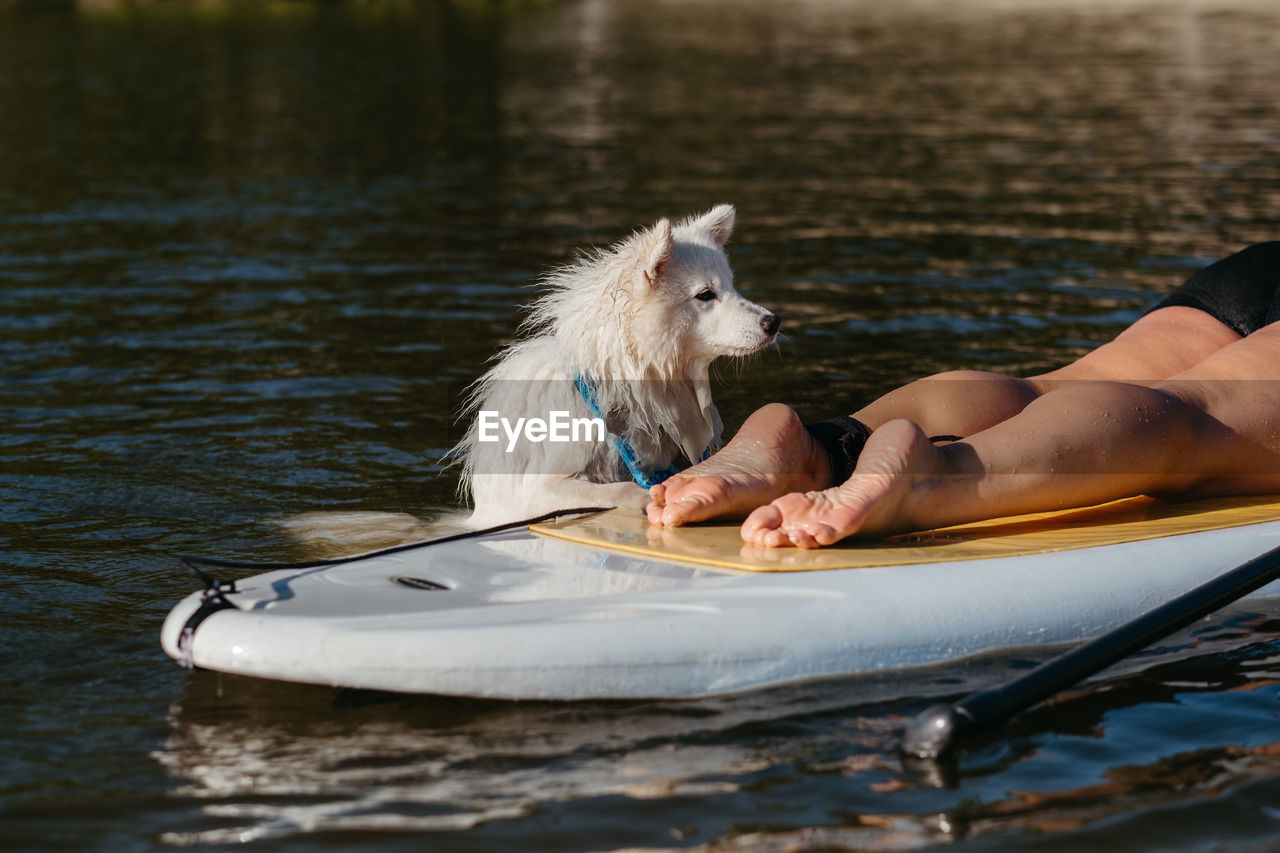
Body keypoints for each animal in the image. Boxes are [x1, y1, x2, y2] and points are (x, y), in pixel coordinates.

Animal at [460, 206, 778, 525]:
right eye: (706, 294)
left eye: (732, 287)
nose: (773, 321)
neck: (617, 388)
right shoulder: (535, 492)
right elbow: (613, 489)